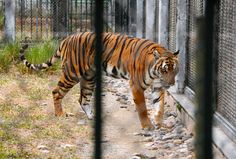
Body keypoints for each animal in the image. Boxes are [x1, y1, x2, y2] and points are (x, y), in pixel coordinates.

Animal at [19, 31, 179, 130]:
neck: (155, 74)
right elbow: (143, 108)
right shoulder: (136, 86)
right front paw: (147, 126)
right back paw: (60, 114)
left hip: (89, 78)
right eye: (165, 70)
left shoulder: (158, 87)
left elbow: (160, 106)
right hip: (72, 74)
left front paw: (159, 123)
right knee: (56, 92)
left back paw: (92, 117)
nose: (171, 84)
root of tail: (66, 39)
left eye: (175, 70)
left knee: (83, 98)